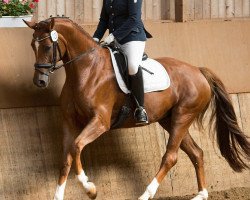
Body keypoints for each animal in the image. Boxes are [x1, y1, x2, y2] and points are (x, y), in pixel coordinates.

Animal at [23, 17, 250, 200]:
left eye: (46, 47)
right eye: (32, 46)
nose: (39, 81)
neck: (86, 69)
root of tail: (198, 70)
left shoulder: (100, 122)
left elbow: (77, 146)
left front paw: (90, 189)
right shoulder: (70, 123)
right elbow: (66, 158)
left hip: (183, 116)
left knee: (171, 157)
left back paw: (145, 195)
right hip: (171, 120)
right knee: (197, 153)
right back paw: (201, 195)